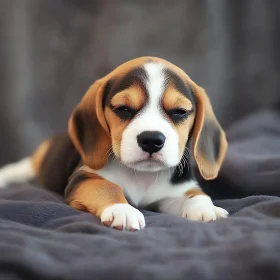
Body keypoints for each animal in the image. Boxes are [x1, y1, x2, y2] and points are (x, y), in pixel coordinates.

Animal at [0, 56, 228, 230]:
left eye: (180, 112)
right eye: (123, 109)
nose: (151, 140)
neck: (142, 176)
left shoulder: (176, 191)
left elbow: (195, 193)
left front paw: (206, 208)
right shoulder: (84, 178)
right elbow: (107, 186)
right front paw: (122, 209)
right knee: (25, 165)